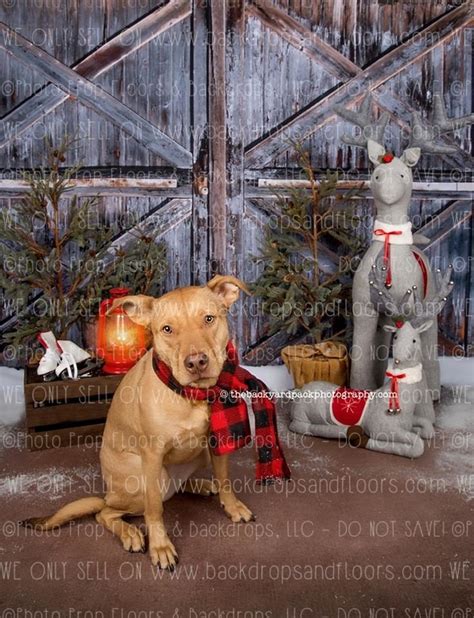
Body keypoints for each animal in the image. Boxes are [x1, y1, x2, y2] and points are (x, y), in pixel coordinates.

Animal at [25, 274, 256, 568]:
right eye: (167, 329)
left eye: (208, 319)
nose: (197, 362)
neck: (191, 395)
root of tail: (108, 492)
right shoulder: (152, 454)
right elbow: (154, 509)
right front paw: (160, 546)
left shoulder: (217, 439)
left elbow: (225, 478)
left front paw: (232, 506)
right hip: (142, 480)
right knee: (106, 512)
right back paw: (130, 533)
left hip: (197, 456)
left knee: (177, 488)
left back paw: (201, 485)